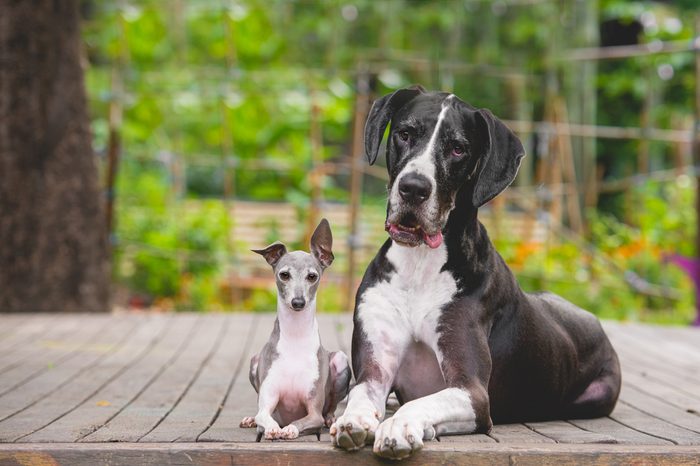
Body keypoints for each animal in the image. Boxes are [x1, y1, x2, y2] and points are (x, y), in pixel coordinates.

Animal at [241, 218, 352, 440]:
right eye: (284, 275)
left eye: (312, 276)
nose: (298, 302)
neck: (295, 338)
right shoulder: (267, 402)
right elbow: (263, 416)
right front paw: (272, 428)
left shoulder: (313, 412)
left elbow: (300, 421)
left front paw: (289, 429)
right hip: (254, 361)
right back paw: (250, 420)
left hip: (341, 359)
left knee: (330, 409)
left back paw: (331, 420)